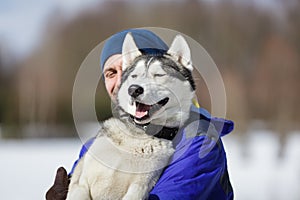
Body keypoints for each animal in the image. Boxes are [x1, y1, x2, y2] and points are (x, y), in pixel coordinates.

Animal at [67, 33, 196, 200]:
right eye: (134, 76)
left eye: (159, 74)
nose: (134, 89)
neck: (137, 134)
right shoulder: (81, 181)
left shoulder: (140, 187)